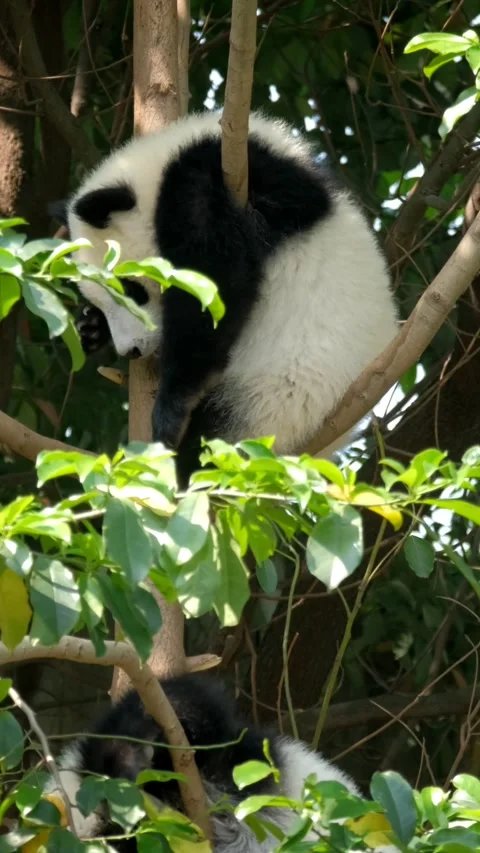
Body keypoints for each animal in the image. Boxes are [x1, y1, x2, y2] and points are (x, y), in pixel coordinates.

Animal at [53, 110, 398, 486]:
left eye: (131, 290)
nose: (130, 350)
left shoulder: (209, 179)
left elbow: (217, 279)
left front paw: (171, 409)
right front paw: (90, 327)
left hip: (276, 401)